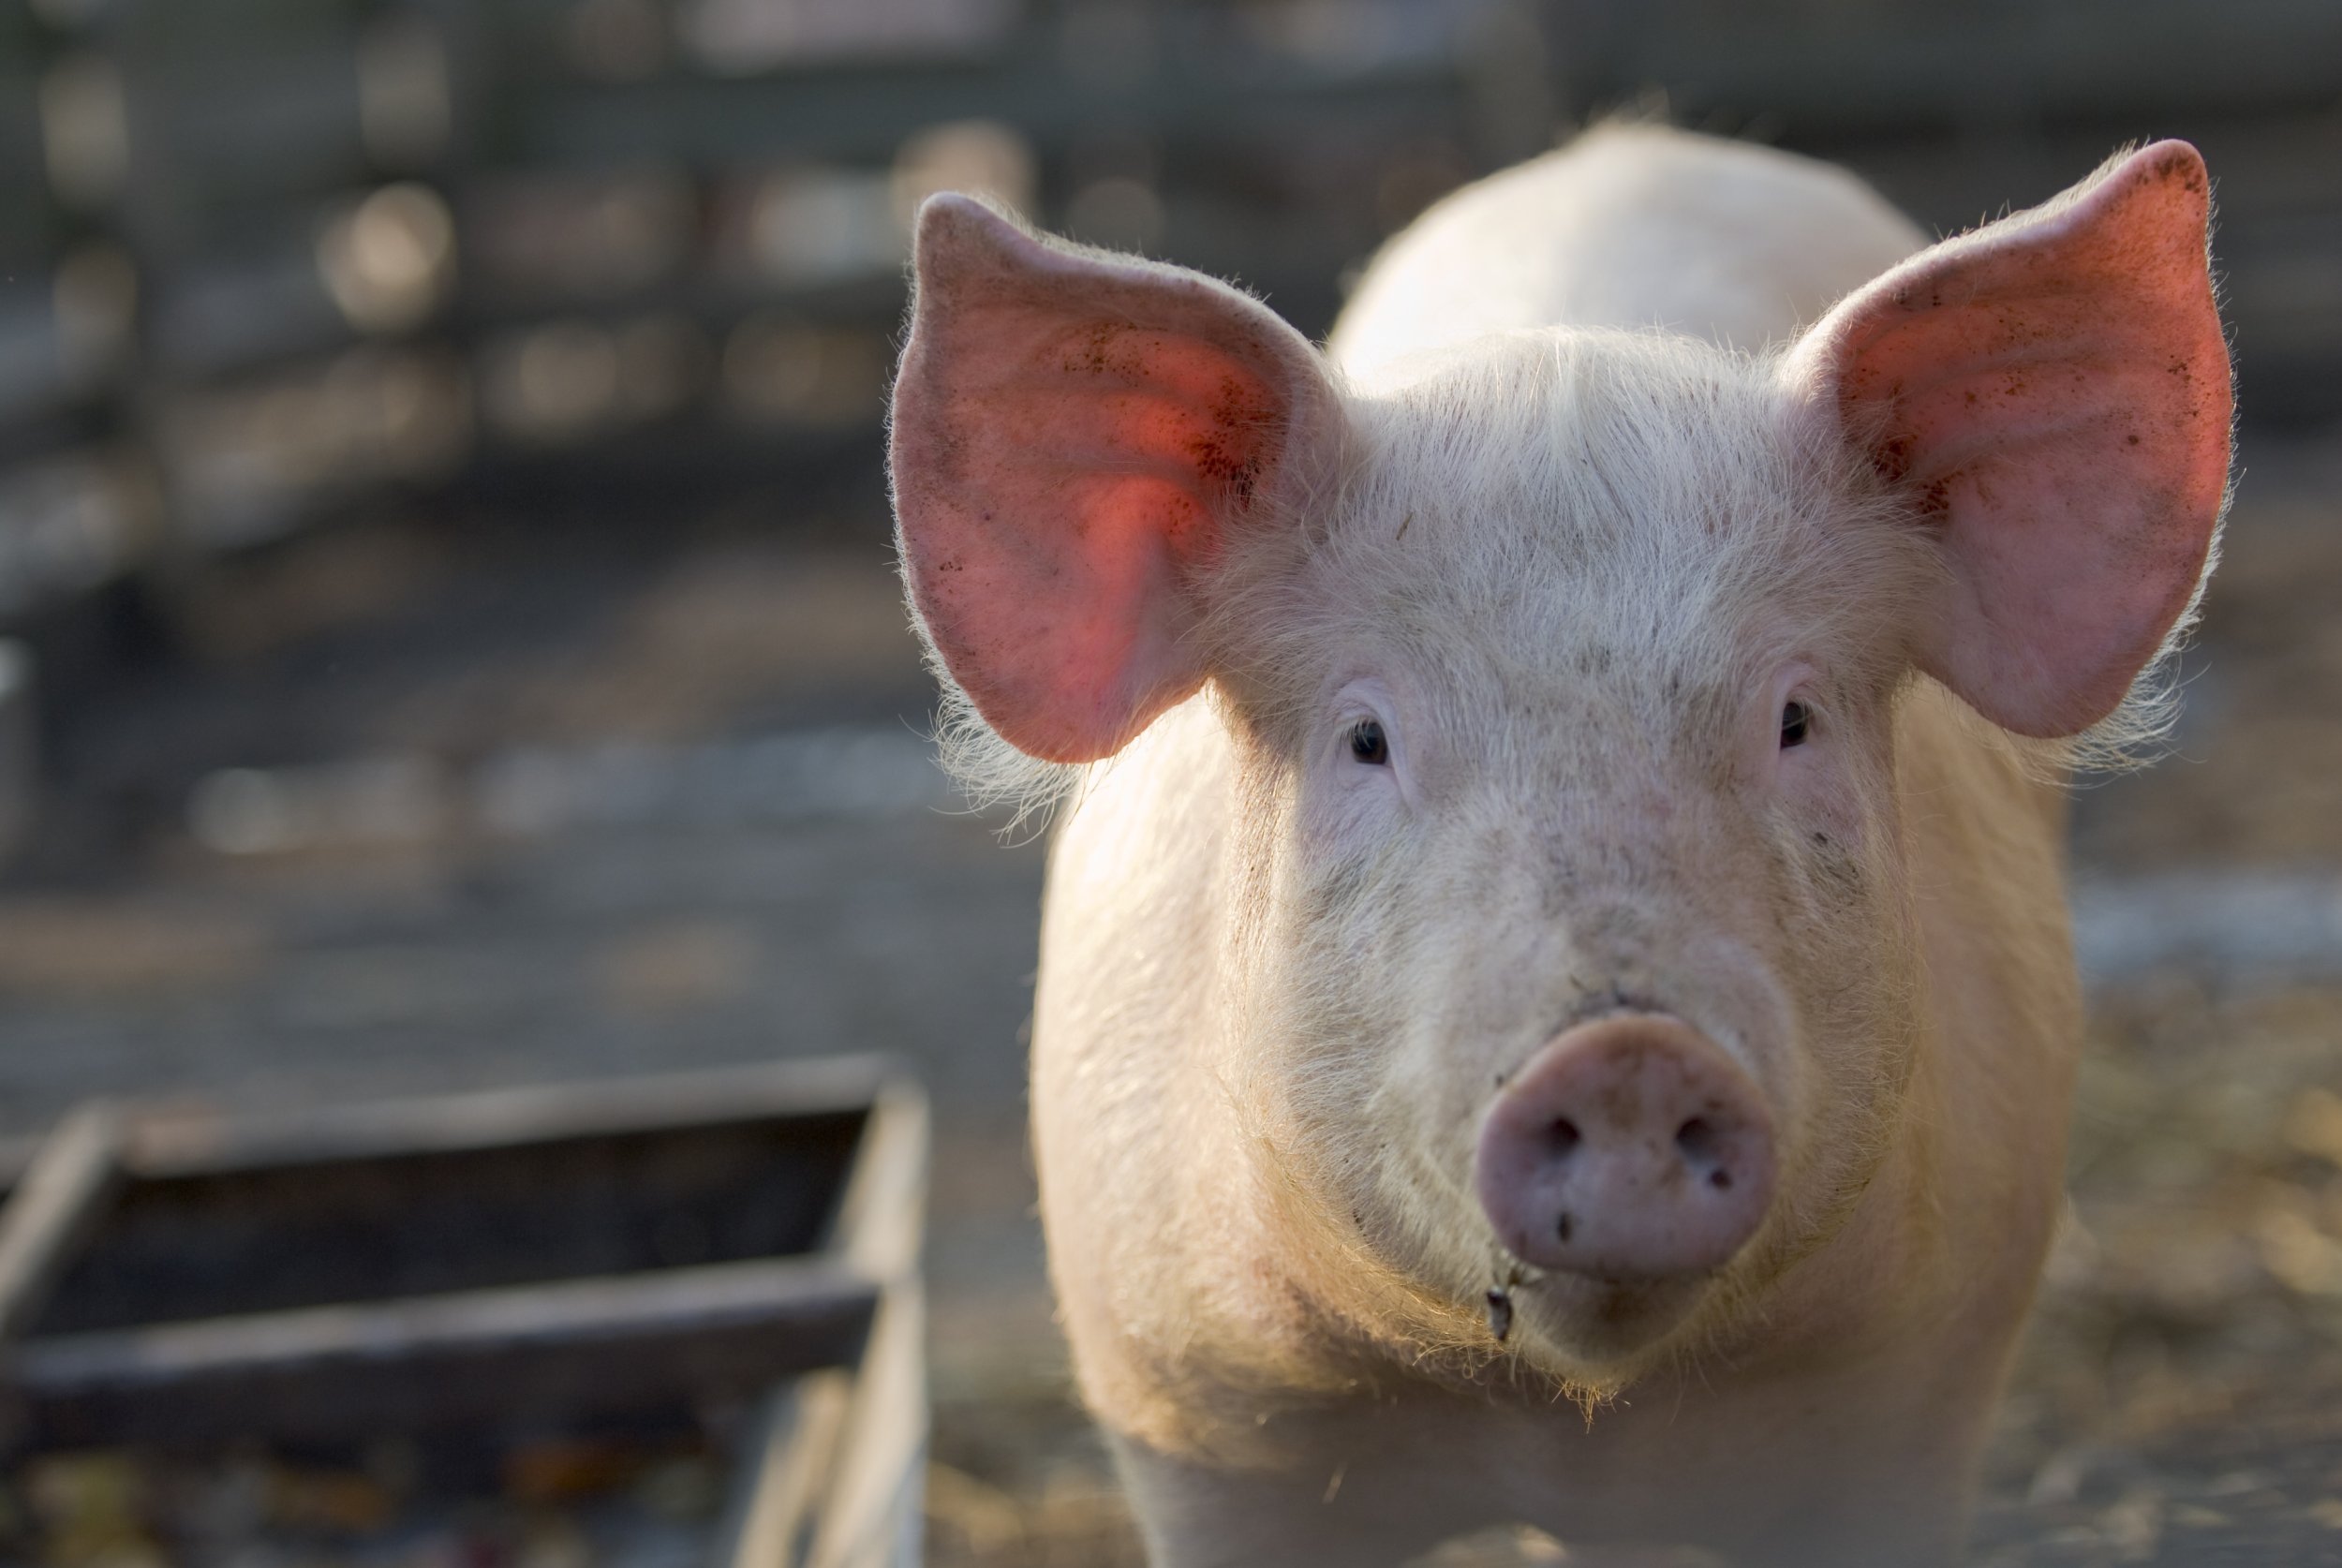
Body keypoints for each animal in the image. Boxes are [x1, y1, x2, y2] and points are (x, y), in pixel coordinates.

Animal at [881, 126, 2230, 1568]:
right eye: (1367, 739)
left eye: (1794, 719)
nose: (1627, 1054)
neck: (1570, 1423)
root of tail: (1637, 142)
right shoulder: (1199, 1415)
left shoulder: (1912, 1395)